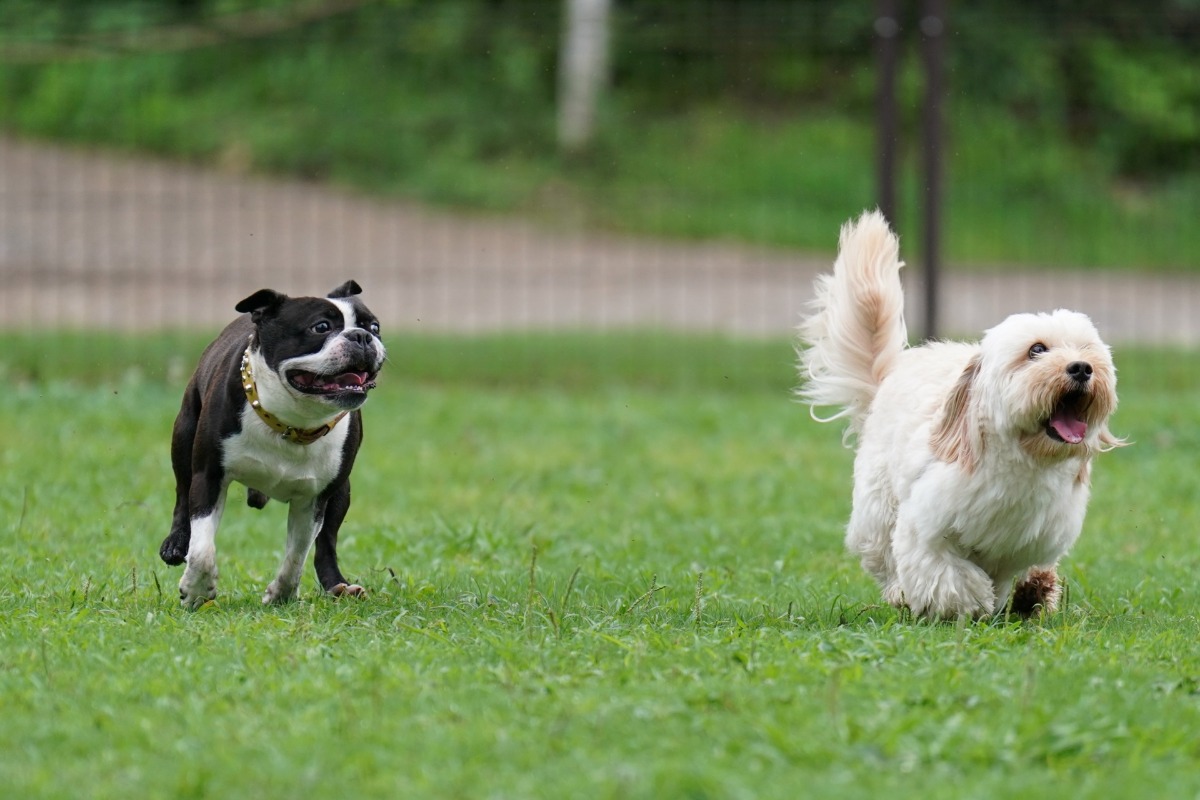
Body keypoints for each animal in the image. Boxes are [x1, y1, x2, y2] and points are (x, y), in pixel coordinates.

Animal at [159, 280, 384, 606]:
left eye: (375, 327)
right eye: (321, 327)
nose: (362, 336)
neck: (292, 423)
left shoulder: (314, 498)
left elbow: (298, 553)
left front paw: (281, 594)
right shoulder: (209, 475)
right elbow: (202, 548)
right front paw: (197, 589)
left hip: (342, 492)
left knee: (326, 543)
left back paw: (337, 585)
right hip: (184, 435)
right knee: (181, 493)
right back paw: (175, 544)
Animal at [801, 211, 1118, 618]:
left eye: (1087, 351)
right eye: (1036, 350)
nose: (1081, 368)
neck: (1022, 461)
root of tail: (892, 371)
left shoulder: (1024, 540)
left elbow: (1011, 571)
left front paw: (1032, 591)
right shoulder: (926, 526)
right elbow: (948, 575)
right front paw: (969, 603)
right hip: (877, 509)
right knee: (883, 558)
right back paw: (900, 594)